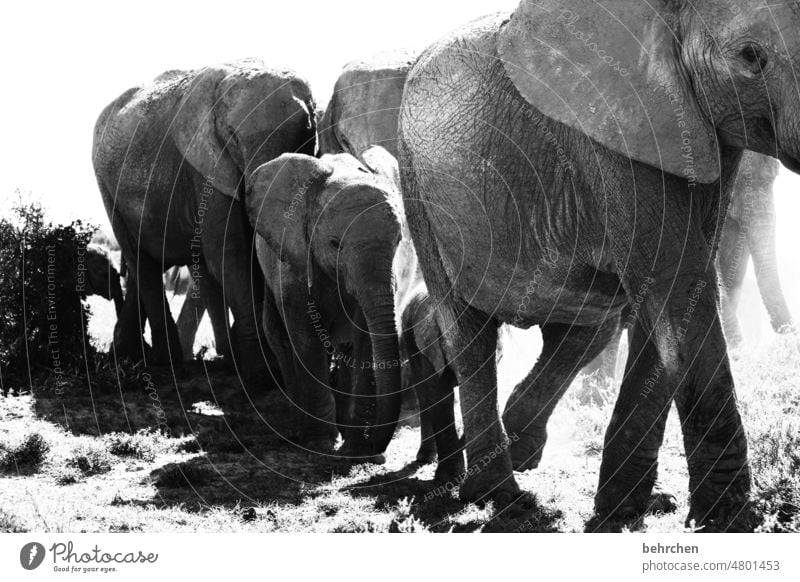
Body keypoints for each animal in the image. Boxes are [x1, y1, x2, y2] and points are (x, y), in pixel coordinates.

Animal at [92, 61, 318, 386]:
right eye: (232, 136)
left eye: (307, 130)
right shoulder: (206, 168)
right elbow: (229, 252)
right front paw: (262, 376)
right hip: (107, 188)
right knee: (142, 260)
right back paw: (164, 360)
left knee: (147, 265)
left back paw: (132, 355)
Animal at [245, 148, 406, 458]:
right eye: (334, 243)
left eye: (398, 241)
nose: (376, 449)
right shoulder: (292, 262)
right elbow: (307, 341)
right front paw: (320, 444)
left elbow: (365, 338)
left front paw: (357, 449)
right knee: (279, 339)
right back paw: (298, 434)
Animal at [398, 0, 800, 532]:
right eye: (751, 57)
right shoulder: (613, 134)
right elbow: (675, 284)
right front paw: (727, 522)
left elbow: (673, 292)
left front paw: (625, 512)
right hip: (419, 193)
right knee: (470, 336)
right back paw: (502, 498)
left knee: (584, 332)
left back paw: (522, 450)